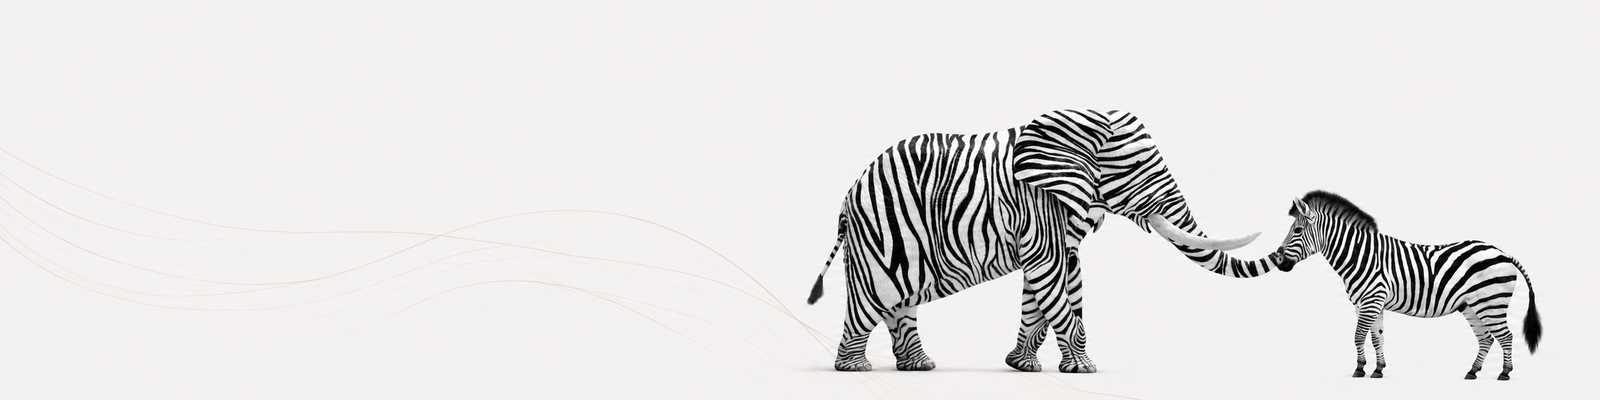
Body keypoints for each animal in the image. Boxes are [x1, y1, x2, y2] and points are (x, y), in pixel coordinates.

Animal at [806, 110, 1294, 372]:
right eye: (1137, 173)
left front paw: (1023, 366)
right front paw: (1085, 370)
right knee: (875, 296)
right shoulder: (1035, 206)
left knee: (900, 301)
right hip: (879, 233)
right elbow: (1050, 274)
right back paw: (854, 369)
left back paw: (919, 367)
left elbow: (1057, 281)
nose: (1294, 210)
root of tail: (846, 199)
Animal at [1273, 190, 1543, 380]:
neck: (1360, 256)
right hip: (1472, 306)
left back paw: (1504, 373)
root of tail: (1503, 253)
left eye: (1297, 230)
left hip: (1491, 303)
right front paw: (1378, 370)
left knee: (1505, 336)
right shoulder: (1372, 304)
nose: (1279, 262)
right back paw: (1472, 371)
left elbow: (1358, 336)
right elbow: (1377, 338)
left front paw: (1359, 369)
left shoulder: (1371, 301)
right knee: (1486, 338)